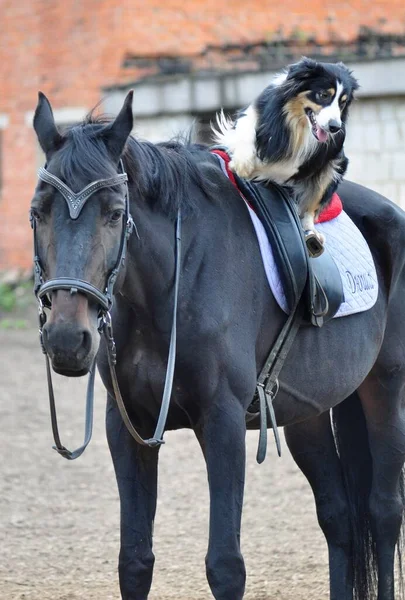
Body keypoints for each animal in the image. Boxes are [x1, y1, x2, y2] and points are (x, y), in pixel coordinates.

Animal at [30, 90, 404, 600]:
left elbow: (225, 566)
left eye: (114, 213)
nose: (68, 338)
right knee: (339, 516)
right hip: (307, 412)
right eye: (37, 213)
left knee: (384, 512)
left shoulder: (222, 422)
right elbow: (134, 562)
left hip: (385, 390)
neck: (173, 283)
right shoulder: (126, 428)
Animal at [211, 57, 356, 252]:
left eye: (342, 102)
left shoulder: (319, 157)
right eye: (324, 95)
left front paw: (255, 169)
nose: (335, 127)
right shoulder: (254, 112)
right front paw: (242, 164)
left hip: (332, 170)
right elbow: (246, 131)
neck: (298, 124)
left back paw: (311, 233)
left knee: (310, 209)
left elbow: (283, 166)